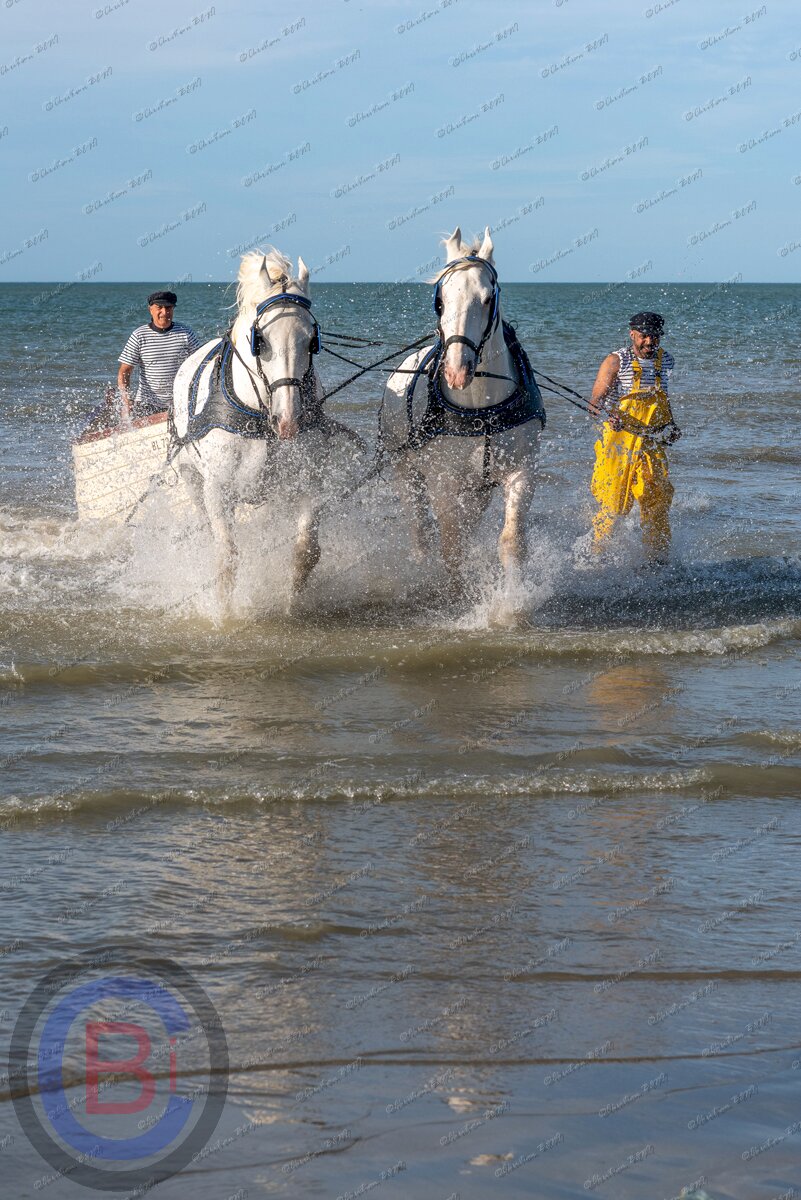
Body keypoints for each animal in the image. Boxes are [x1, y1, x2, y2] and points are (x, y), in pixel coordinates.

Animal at [171, 248, 365, 616]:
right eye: (260, 340)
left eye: (312, 341)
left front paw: (291, 606)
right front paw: (225, 616)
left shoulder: (306, 482)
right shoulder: (217, 490)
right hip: (188, 475)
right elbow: (226, 557)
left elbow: (305, 550)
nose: (288, 421)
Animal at [378, 227, 545, 618]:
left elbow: (510, 542)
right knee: (421, 526)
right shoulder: (443, 481)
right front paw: (456, 596)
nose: (456, 372)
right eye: (441, 300)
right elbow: (450, 544)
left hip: (478, 488)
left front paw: (511, 601)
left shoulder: (522, 472)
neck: (481, 408)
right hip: (405, 469)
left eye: (487, 298)